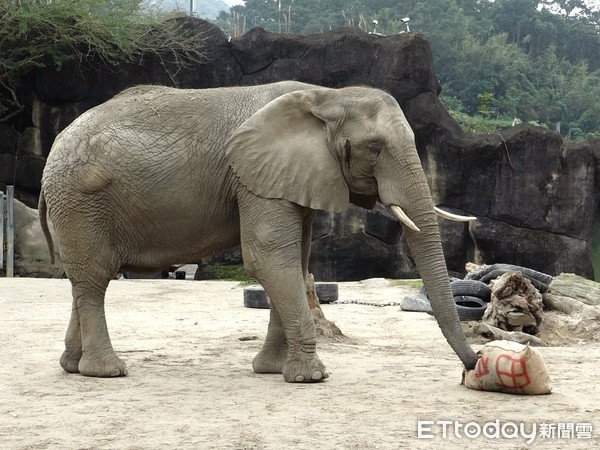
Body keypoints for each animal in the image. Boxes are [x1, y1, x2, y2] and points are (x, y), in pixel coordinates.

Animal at [38, 80, 478, 380]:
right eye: (374, 148)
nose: (472, 365)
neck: (327, 96)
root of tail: (55, 147)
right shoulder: (253, 178)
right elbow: (268, 258)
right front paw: (310, 377)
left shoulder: (288, 179)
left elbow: (295, 262)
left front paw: (271, 370)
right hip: (81, 199)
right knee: (96, 276)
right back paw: (107, 371)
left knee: (84, 279)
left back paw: (72, 366)